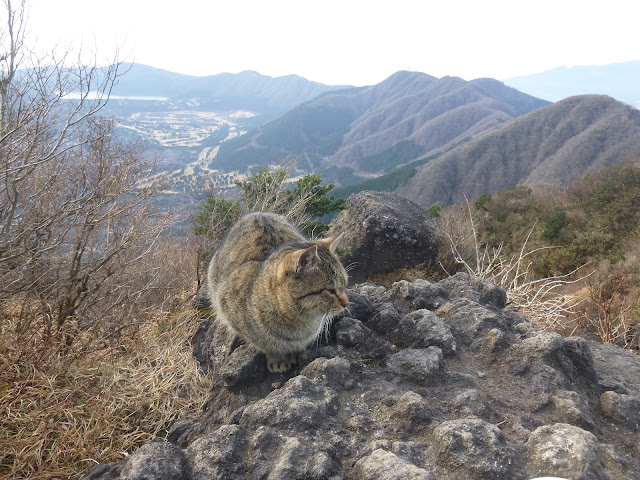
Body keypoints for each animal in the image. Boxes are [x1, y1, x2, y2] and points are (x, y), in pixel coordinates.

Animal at [206, 212, 350, 374]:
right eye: (330, 290)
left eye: (345, 284)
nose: (347, 303)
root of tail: (256, 213)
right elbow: (269, 346)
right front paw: (278, 360)